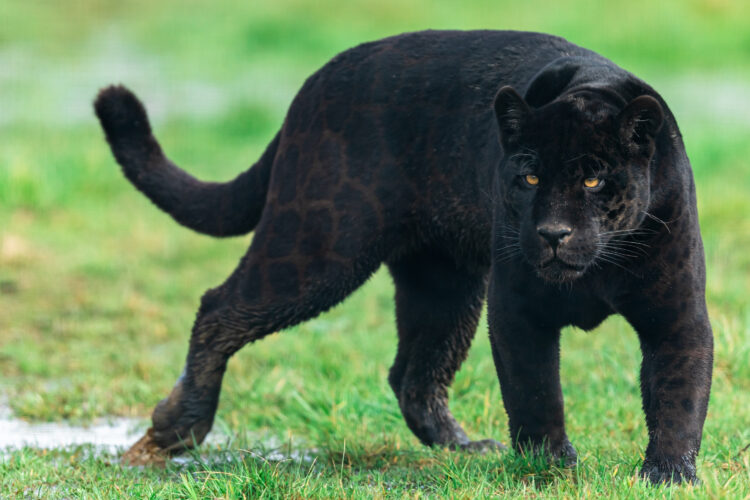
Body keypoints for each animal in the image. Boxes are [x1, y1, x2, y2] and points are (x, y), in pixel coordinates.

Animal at [94, 30, 713, 484]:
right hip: (319, 246)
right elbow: (536, 392)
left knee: (413, 372)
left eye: (592, 178)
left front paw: (668, 476)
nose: (553, 233)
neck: (596, 268)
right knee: (219, 308)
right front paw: (550, 468)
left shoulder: (677, 315)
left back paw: (463, 447)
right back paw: (171, 432)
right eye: (530, 176)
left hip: (445, 284)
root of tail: (314, 83)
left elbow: (679, 396)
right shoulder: (519, 311)